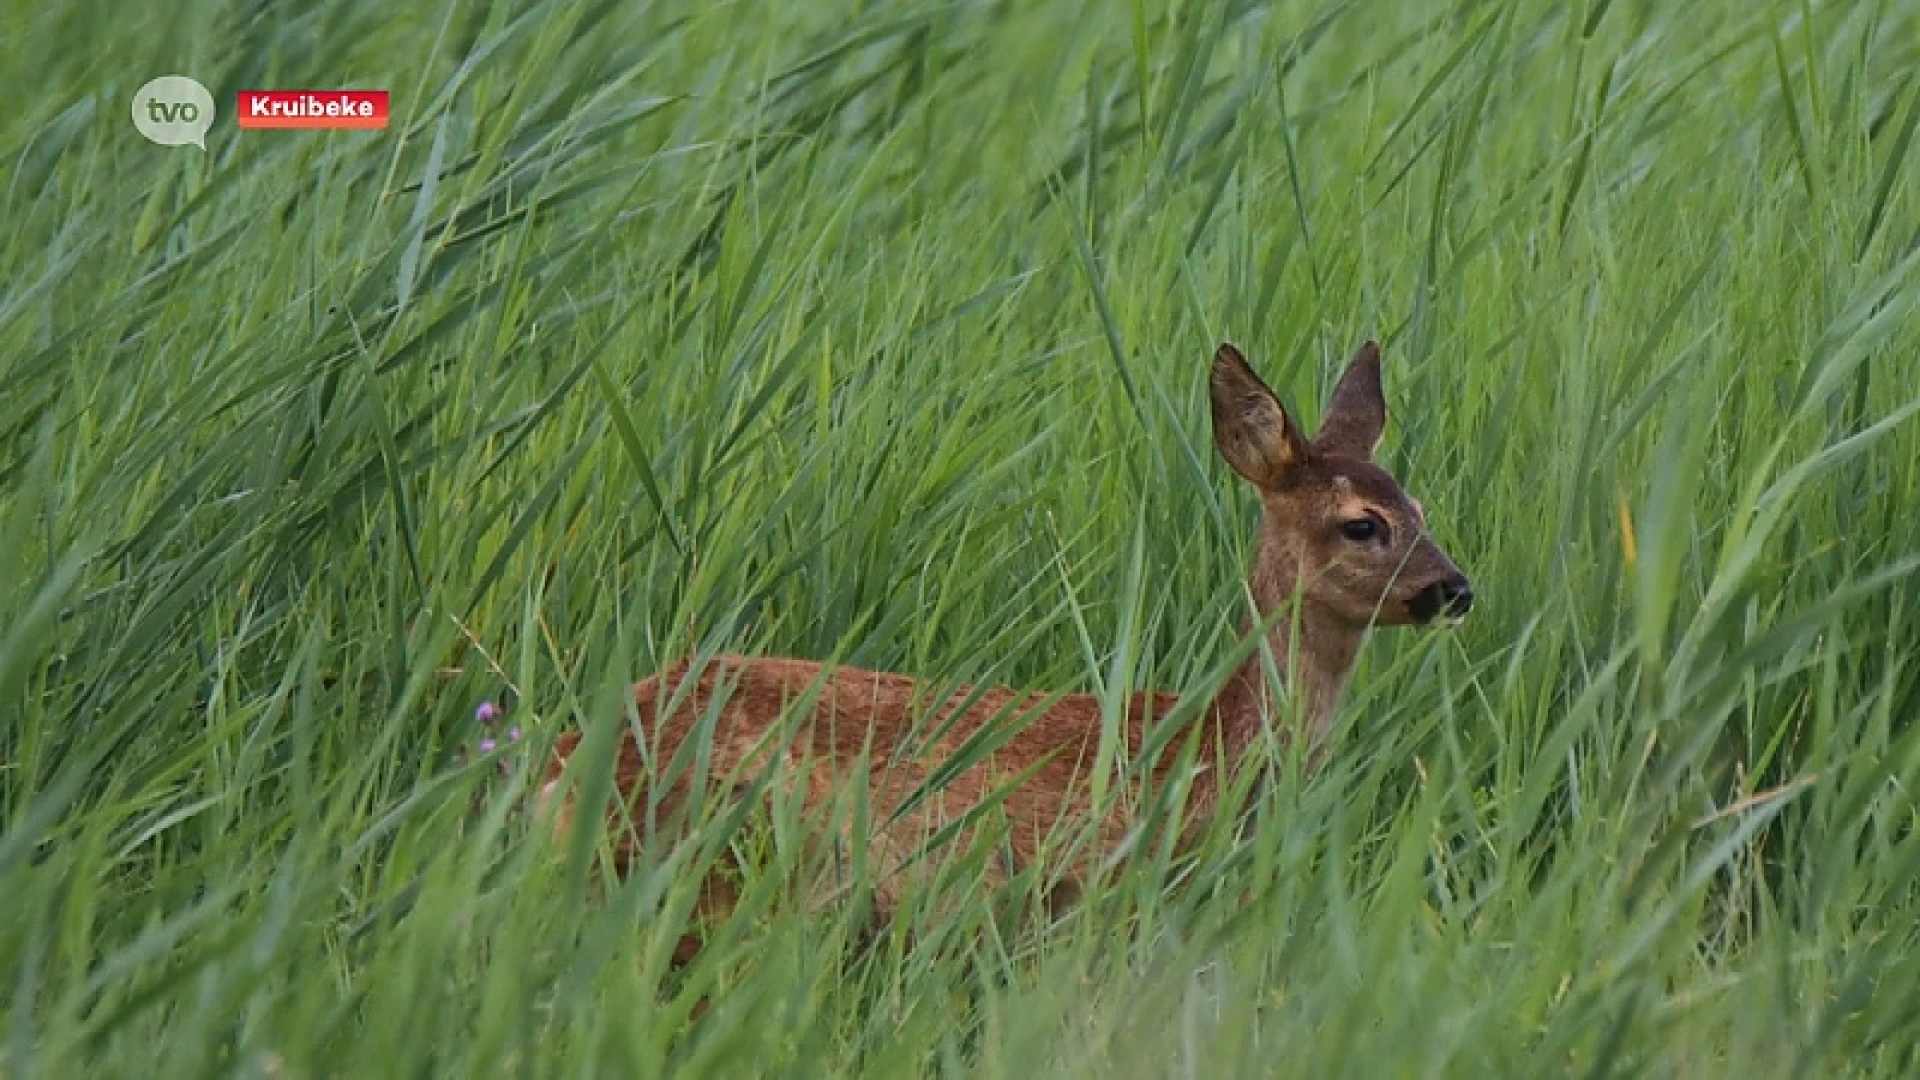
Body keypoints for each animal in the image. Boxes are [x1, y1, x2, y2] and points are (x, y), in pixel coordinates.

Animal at [541, 336, 1466, 949]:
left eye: (1421, 508)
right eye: (1362, 524)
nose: (1455, 589)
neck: (1210, 748)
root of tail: (565, 768)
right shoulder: (1105, 889)